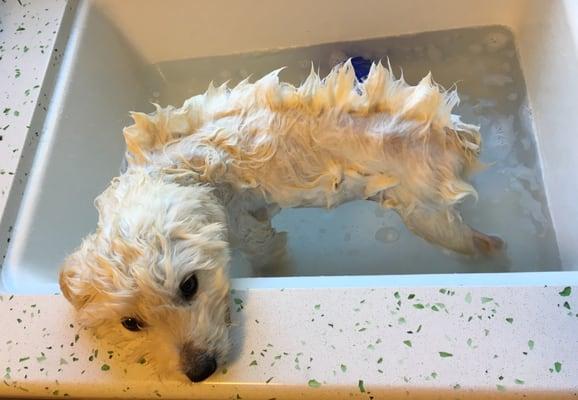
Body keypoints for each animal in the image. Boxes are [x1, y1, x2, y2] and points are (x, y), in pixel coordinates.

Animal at [57, 61, 500, 382]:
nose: (201, 371)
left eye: (189, 286)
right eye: (130, 323)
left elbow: (270, 255)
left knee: (482, 245)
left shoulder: (246, 228)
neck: (172, 174)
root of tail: (454, 135)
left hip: (427, 216)